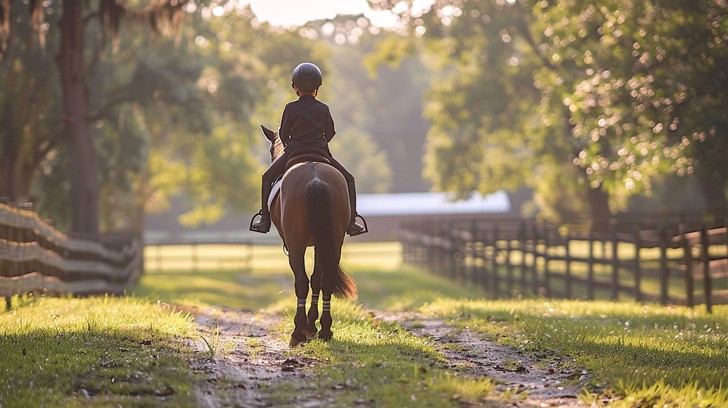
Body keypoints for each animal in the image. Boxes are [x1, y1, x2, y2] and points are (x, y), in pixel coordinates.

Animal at [256, 125, 357, 347]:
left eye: (270, 150)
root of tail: (316, 180)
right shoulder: (321, 244)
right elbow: (317, 279)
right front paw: (313, 326)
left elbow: (308, 280)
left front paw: (306, 328)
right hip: (333, 242)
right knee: (325, 280)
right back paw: (325, 330)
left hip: (296, 244)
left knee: (301, 282)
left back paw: (298, 332)